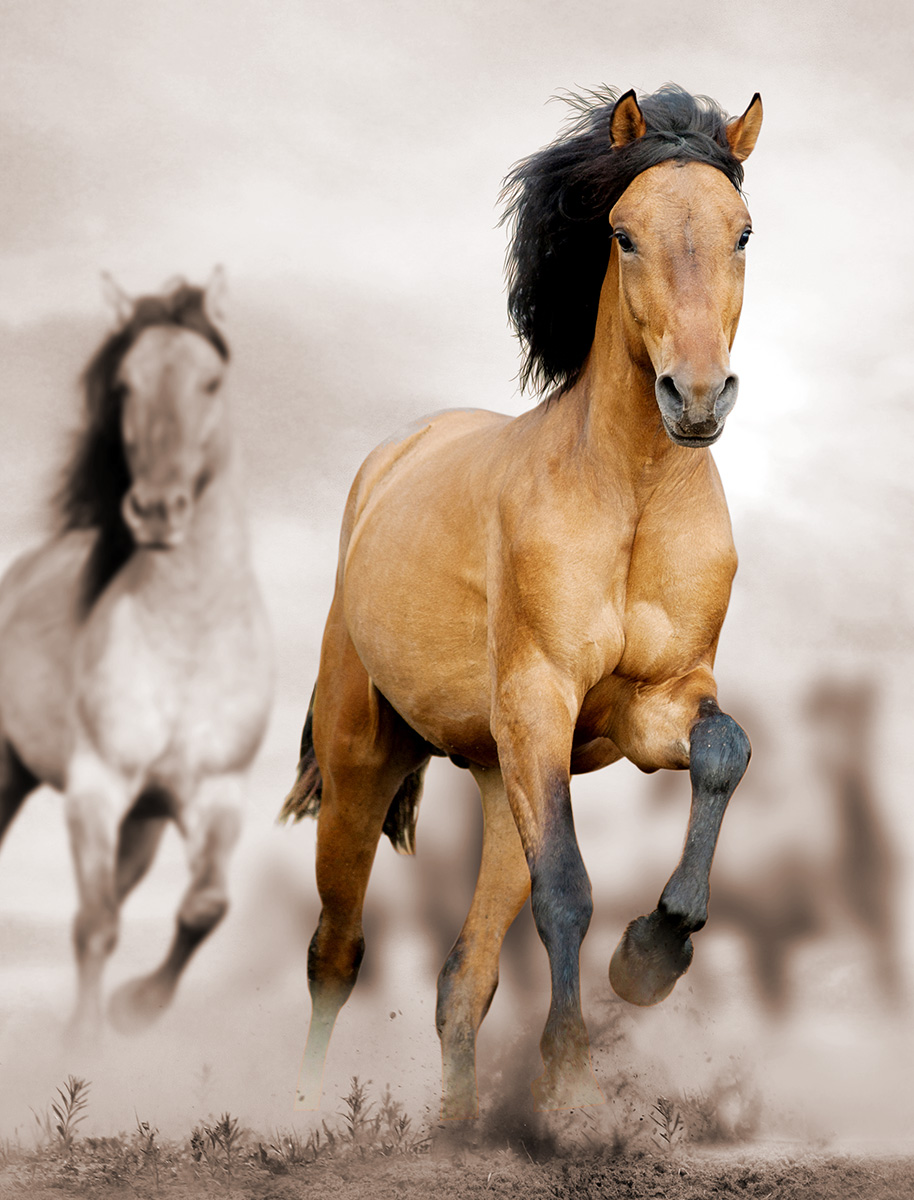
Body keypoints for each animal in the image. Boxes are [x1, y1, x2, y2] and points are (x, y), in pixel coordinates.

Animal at [0, 271, 273, 1037]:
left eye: (211, 381)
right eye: (125, 384)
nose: (155, 511)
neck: (188, 636)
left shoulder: (215, 794)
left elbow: (203, 908)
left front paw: (134, 1009)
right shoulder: (95, 789)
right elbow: (95, 924)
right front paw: (85, 1043)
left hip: (145, 823)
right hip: (12, 772)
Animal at [280, 85, 763, 1119]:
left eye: (743, 231)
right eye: (623, 234)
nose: (697, 397)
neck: (629, 496)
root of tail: (391, 460)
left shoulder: (653, 705)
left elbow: (723, 752)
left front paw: (653, 952)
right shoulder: (541, 698)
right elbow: (569, 893)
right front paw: (572, 1081)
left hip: (503, 781)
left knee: (462, 980)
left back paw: (460, 1130)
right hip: (362, 765)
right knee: (336, 952)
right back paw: (295, 1116)